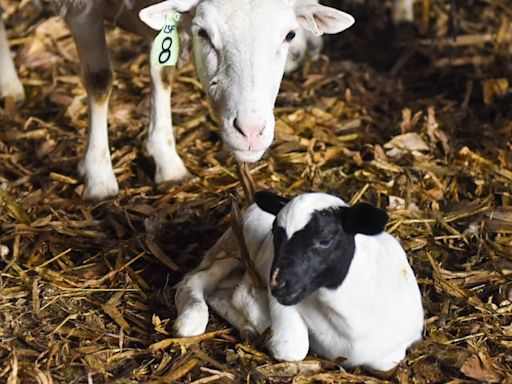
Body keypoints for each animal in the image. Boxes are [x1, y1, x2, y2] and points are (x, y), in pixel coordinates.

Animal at [174, 191, 422, 372]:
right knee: (196, 280)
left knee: (217, 293)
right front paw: (259, 315)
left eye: (325, 240)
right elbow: (291, 347)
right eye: (275, 233)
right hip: (235, 247)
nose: (277, 284)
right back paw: (191, 319)